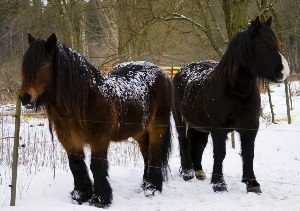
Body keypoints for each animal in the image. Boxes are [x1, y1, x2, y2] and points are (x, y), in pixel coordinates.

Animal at [18, 33, 172, 208]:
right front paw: (80, 195)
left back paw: (152, 189)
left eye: (44, 65)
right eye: (24, 65)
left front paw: (101, 199)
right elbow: (76, 165)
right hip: (139, 131)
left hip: (158, 127)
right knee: (146, 155)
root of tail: (162, 73)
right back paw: (145, 185)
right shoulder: (69, 139)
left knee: (154, 155)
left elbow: (97, 166)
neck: (86, 99)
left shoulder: (99, 139)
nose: (25, 98)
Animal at [172, 17, 290, 194]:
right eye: (262, 44)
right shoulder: (219, 129)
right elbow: (220, 153)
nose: (284, 72)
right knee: (183, 141)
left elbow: (248, 153)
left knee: (198, 143)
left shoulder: (250, 127)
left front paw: (252, 183)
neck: (236, 91)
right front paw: (219, 184)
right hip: (180, 119)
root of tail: (180, 72)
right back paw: (187, 172)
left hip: (199, 125)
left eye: (276, 43)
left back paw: (198, 171)